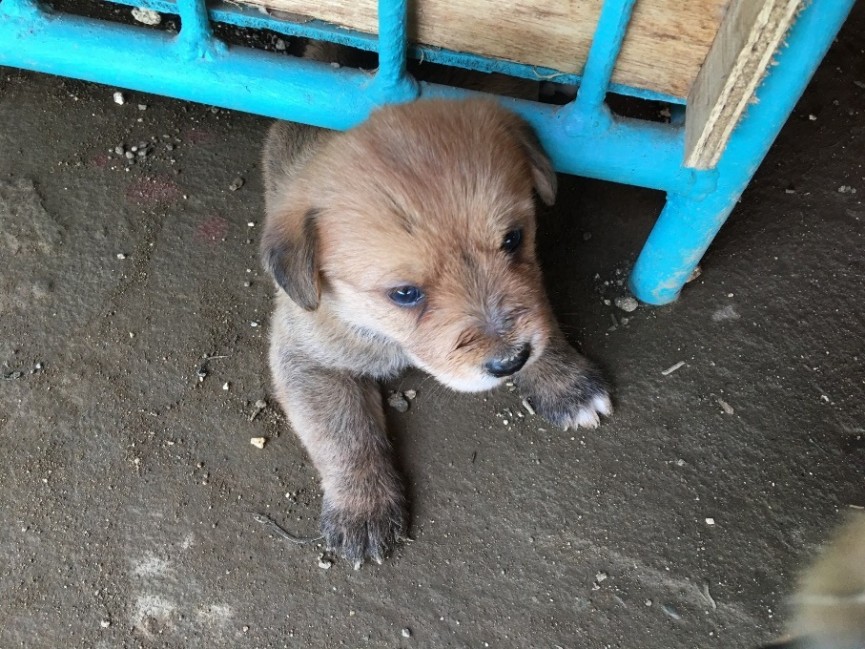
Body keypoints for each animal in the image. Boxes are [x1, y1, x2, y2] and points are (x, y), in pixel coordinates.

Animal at [260, 97, 612, 568]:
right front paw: (363, 507)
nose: (510, 362)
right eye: (404, 294)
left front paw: (565, 383)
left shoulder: (531, 288)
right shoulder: (306, 358)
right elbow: (342, 434)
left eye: (513, 239)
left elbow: (538, 314)